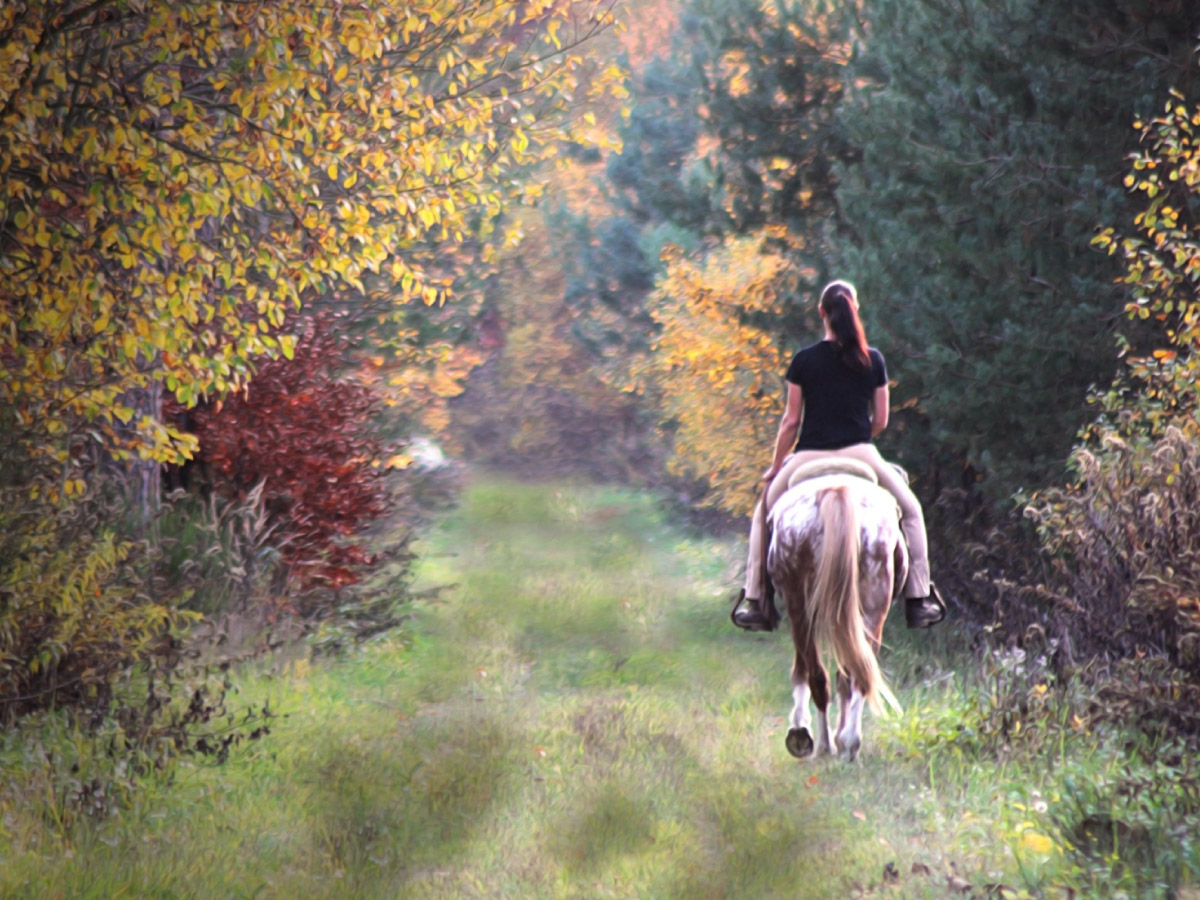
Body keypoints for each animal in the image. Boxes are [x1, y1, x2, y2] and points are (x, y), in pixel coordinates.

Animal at [763, 460, 902, 763]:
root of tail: (837, 489)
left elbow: (804, 670)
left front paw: (801, 729)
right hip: (873, 606)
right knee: (858, 674)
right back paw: (848, 744)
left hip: (799, 605)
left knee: (819, 675)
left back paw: (825, 745)